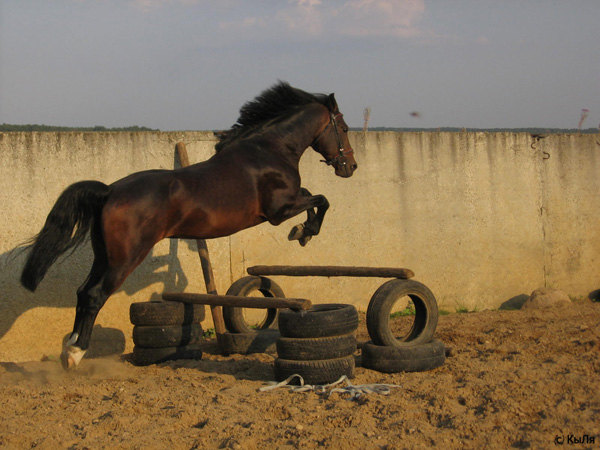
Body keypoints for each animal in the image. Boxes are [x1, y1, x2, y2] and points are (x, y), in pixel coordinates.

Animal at [19, 81, 356, 370]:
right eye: (343, 128)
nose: (350, 167)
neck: (270, 149)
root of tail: (110, 191)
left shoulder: (288, 202)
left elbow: (313, 196)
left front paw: (302, 232)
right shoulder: (278, 210)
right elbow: (321, 199)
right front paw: (303, 233)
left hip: (104, 256)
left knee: (82, 292)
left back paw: (68, 349)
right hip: (125, 259)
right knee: (94, 296)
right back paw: (75, 354)